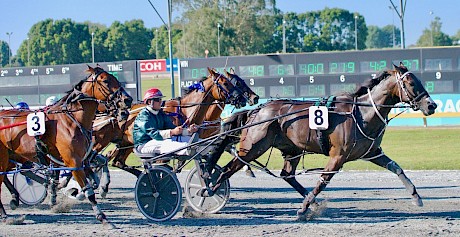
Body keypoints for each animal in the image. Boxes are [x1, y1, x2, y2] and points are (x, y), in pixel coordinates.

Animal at [0, 65, 132, 225]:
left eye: (116, 79)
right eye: (106, 81)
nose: (127, 100)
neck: (73, 119)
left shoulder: (84, 158)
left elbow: (95, 172)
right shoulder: (73, 161)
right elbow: (87, 189)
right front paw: (101, 216)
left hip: (11, 158)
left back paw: (13, 201)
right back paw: (7, 211)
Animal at [88, 67, 256, 196]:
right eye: (227, 83)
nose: (252, 98)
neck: (187, 112)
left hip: (124, 143)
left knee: (115, 161)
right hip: (101, 140)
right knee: (95, 159)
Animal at [206, 64, 438, 219]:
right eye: (411, 83)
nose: (432, 105)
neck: (362, 113)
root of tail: (258, 109)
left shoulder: (372, 152)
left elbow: (396, 167)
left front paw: (416, 197)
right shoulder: (338, 156)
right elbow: (323, 181)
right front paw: (302, 209)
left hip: (291, 149)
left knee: (287, 175)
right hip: (253, 146)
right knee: (228, 169)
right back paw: (208, 191)